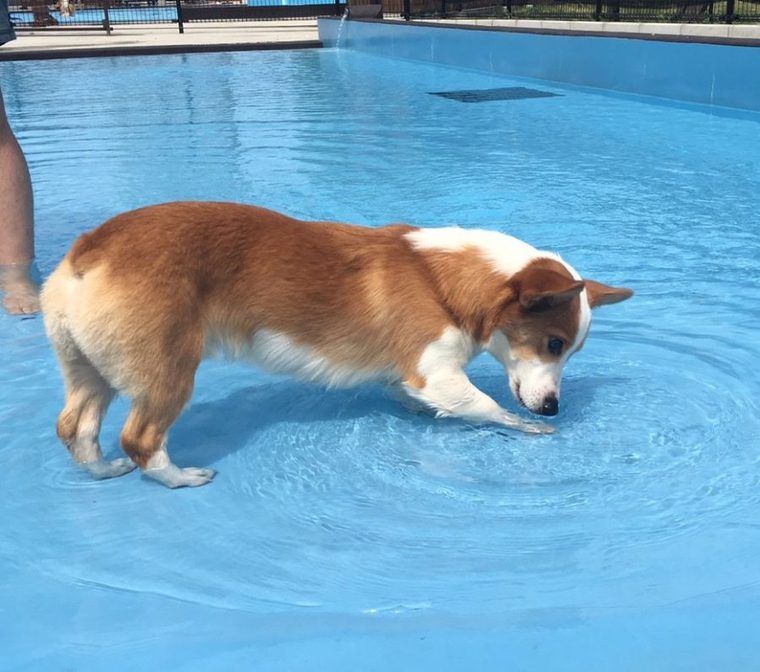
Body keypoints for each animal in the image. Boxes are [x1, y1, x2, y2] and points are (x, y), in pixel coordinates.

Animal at [43, 201, 636, 488]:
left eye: (570, 351)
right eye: (554, 344)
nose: (555, 408)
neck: (448, 284)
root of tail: (89, 250)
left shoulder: (411, 379)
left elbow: (415, 399)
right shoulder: (439, 376)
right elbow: (491, 408)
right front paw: (534, 431)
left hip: (90, 371)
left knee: (76, 428)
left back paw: (100, 471)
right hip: (169, 371)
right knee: (139, 437)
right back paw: (180, 478)